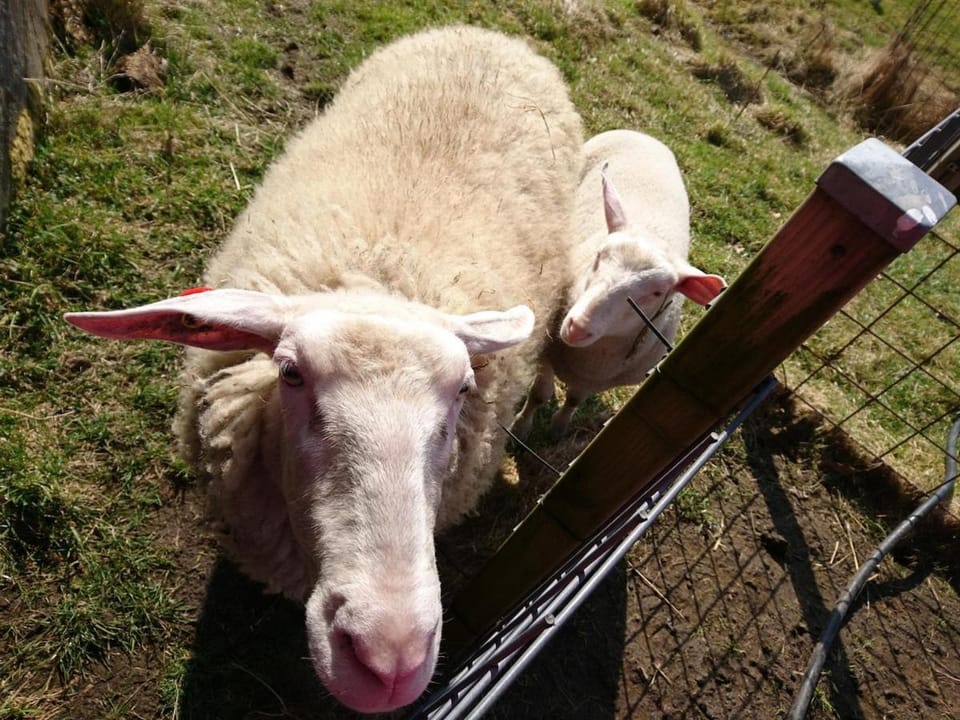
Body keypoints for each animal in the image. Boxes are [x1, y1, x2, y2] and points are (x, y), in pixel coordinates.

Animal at [512, 129, 725, 437]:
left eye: (657, 292)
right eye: (599, 255)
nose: (577, 326)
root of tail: (647, 135)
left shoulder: (596, 382)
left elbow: (574, 399)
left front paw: (559, 429)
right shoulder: (547, 354)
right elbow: (539, 394)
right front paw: (520, 428)